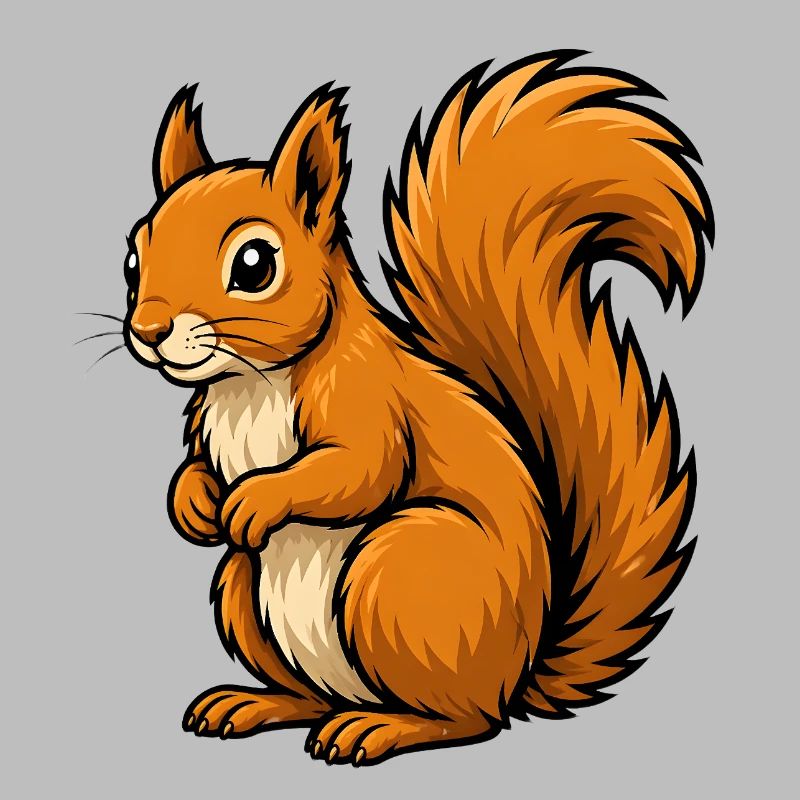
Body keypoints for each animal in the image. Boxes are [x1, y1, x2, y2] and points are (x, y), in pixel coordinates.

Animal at [122, 51, 712, 766]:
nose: (148, 330)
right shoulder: (207, 423)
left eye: (255, 264)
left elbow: (359, 471)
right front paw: (195, 504)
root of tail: (517, 675)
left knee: (468, 721)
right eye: (133, 258)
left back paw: (379, 728)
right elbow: (194, 470)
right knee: (313, 693)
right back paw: (255, 703)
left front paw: (256, 499)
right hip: (244, 589)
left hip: (400, 572)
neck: (249, 384)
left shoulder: (367, 397)